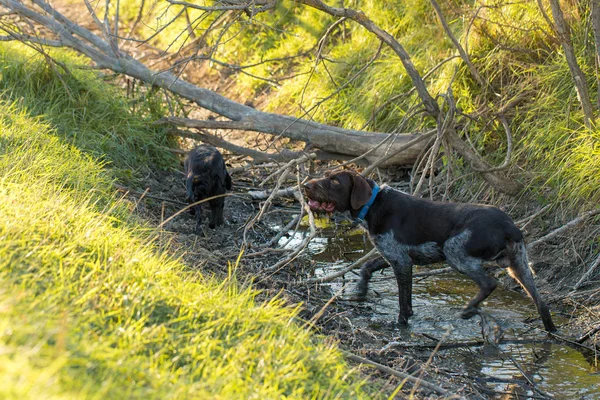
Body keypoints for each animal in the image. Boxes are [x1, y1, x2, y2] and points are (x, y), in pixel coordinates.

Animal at [304, 170, 556, 332]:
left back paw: (468, 310)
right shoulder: (397, 256)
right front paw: (361, 290)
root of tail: (509, 226)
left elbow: (404, 302)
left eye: (334, 181)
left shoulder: (401, 261)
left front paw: (400, 325)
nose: (305, 185)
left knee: (489, 283)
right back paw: (551, 332)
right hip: (519, 266)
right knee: (542, 304)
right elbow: (368, 266)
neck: (373, 204)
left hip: (456, 253)